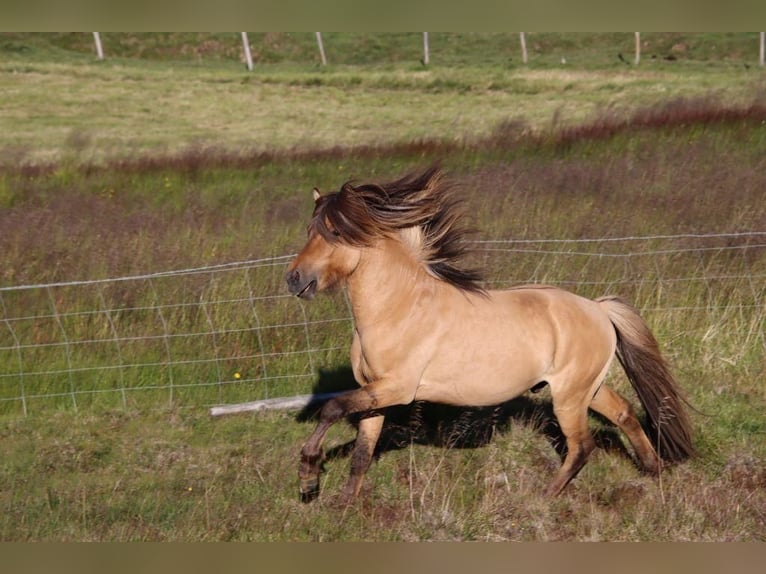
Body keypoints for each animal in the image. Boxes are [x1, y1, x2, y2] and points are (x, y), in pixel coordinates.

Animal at [285, 166, 694, 503]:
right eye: (308, 231)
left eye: (334, 232)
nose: (294, 279)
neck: (398, 309)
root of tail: (598, 309)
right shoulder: (376, 393)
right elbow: (361, 453)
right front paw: (342, 505)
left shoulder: (398, 388)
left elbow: (332, 408)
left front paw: (308, 476)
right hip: (585, 389)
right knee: (623, 413)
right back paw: (653, 469)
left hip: (569, 396)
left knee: (582, 446)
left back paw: (546, 496)